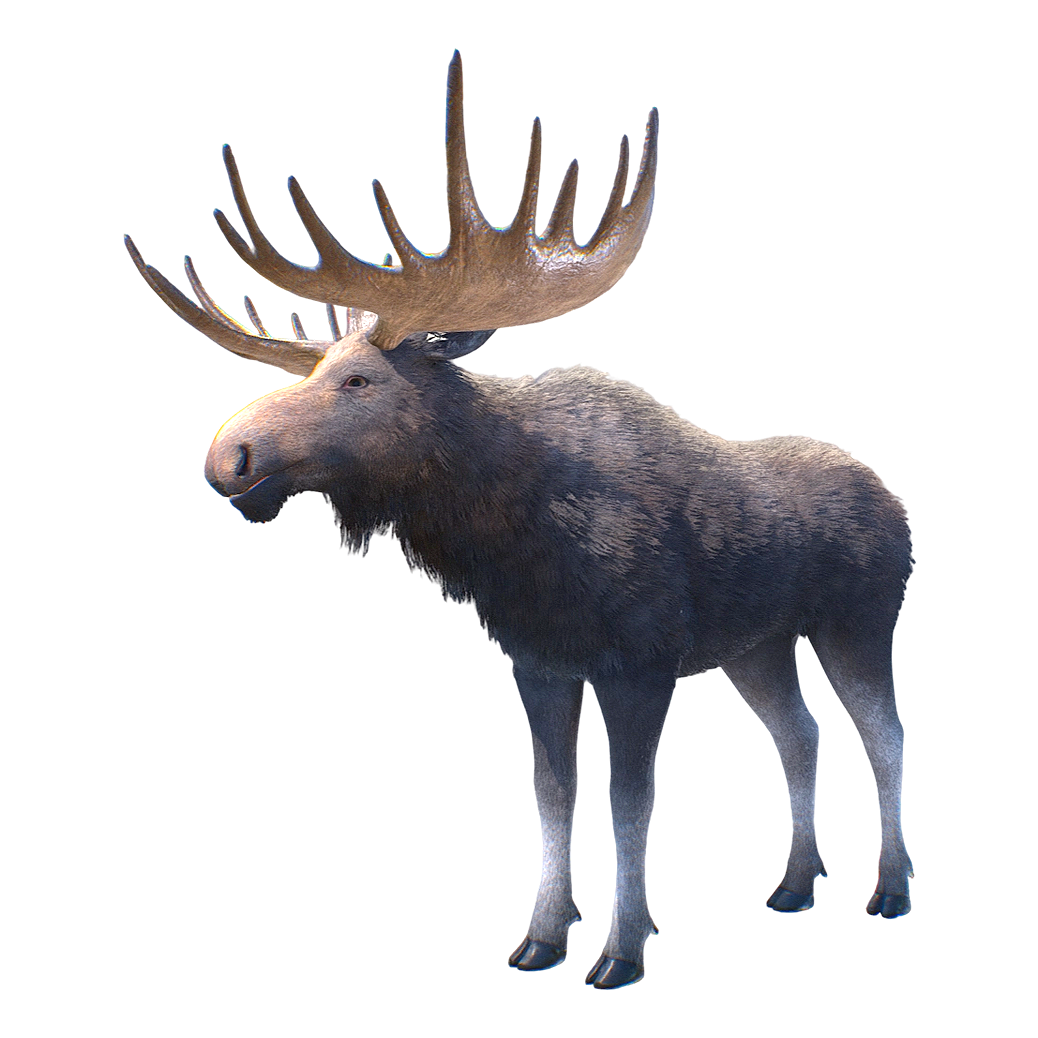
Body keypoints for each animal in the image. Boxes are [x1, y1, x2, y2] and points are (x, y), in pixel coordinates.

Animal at [124, 49, 915, 990]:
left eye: (358, 380)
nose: (228, 455)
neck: (515, 533)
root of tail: (895, 502)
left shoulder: (640, 662)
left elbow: (632, 805)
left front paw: (621, 951)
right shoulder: (539, 662)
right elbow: (554, 797)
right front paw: (542, 938)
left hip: (856, 623)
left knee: (883, 739)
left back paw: (888, 892)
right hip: (755, 646)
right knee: (802, 738)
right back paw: (796, 886)